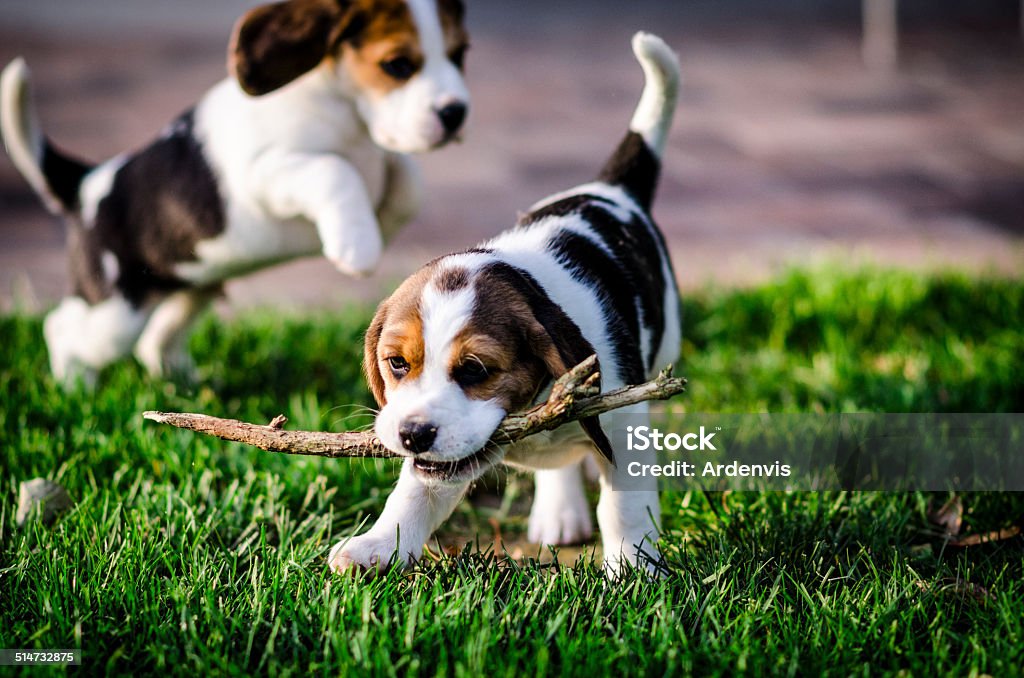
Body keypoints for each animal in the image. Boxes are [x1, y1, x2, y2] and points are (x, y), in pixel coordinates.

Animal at [0, 0, 468, 387]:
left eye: (460, 54)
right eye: (397, 65)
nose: (455, 113)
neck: (345, 110)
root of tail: (86, 186)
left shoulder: (384, 156)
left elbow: (406, 177)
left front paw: (381, 219)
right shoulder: (263, 173)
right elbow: (334, 170)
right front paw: (356, 245)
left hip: (193, 286)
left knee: (156, 340)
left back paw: (182, 384)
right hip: (114, 314)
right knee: (63, 330)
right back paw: (74, 388)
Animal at [327, 30, 679, 573]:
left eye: (475, 369)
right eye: (396, 364)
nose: (412, 434)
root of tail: (610, 187)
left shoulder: (623, 421)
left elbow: (624, 502)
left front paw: (635, 570)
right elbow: (412, 494)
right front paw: (377, 546)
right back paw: (558, 511)